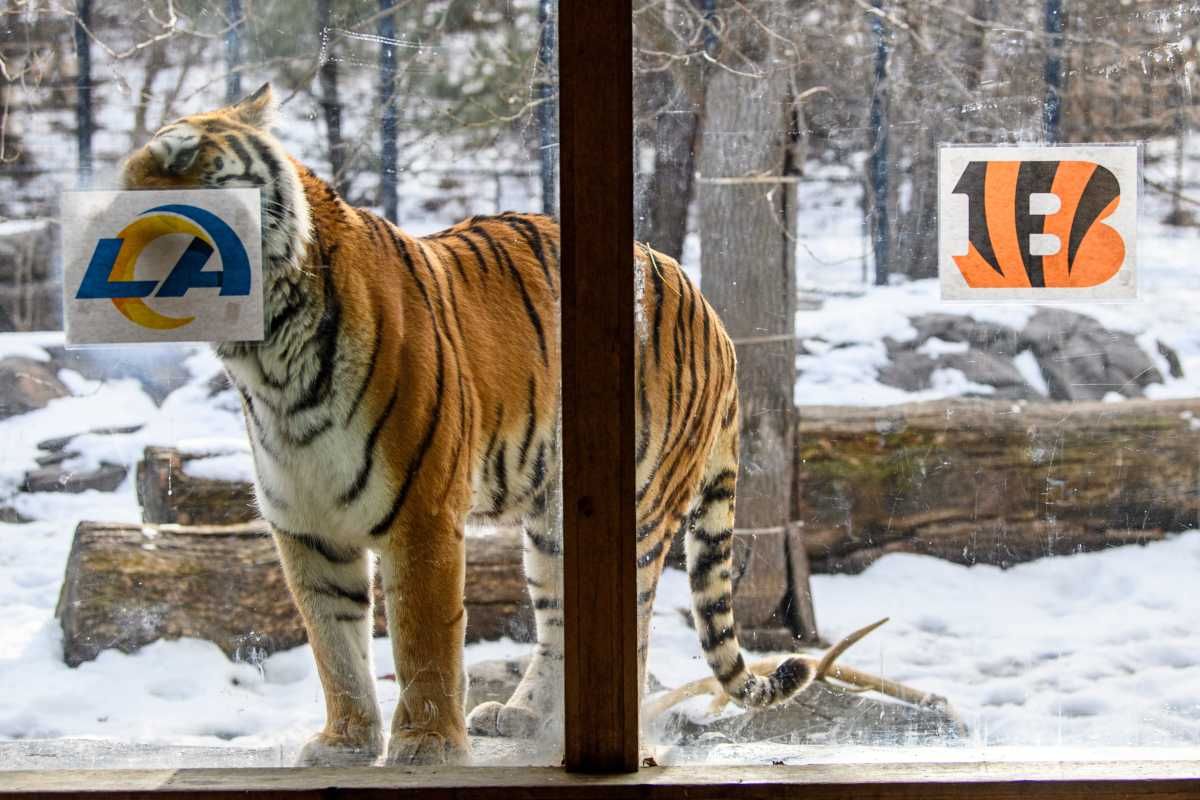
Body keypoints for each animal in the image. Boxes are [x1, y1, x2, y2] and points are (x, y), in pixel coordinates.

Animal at [118, 84, 814, 766]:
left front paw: (426, 746)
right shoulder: (306, 525)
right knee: (560, 621)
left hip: (642, 506)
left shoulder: (420, 513)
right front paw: (346, 742)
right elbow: (333, 646)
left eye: (189, 160)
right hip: (553, 528)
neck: (268, 359)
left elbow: (423, 640)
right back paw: (527, 718)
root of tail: (712, 311)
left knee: (634, 625)